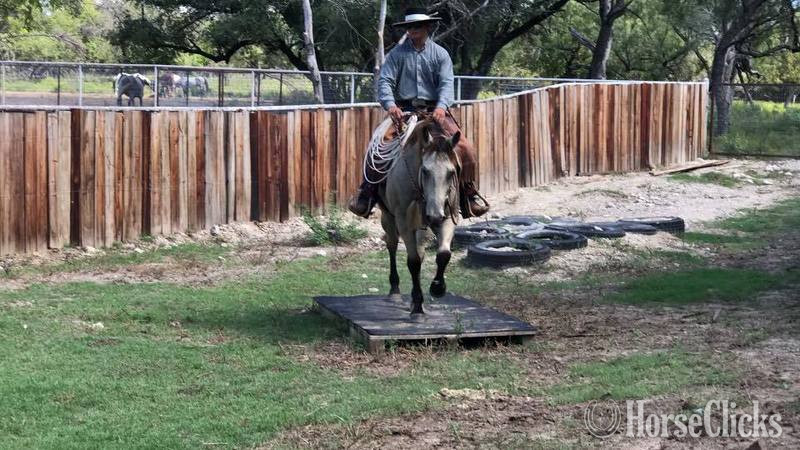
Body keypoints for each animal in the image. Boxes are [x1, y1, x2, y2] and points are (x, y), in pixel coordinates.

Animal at [378, 116, 462, 316]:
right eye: (425, 170)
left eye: (451, 172)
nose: (434, 216)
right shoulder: (403, 222)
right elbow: (414, 261)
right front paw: (417, 305)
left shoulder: (448, 216)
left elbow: (443, 254)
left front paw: (437, 288)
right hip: (388, 217)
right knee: (392, 245)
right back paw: (394, 290)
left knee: (420, 250)